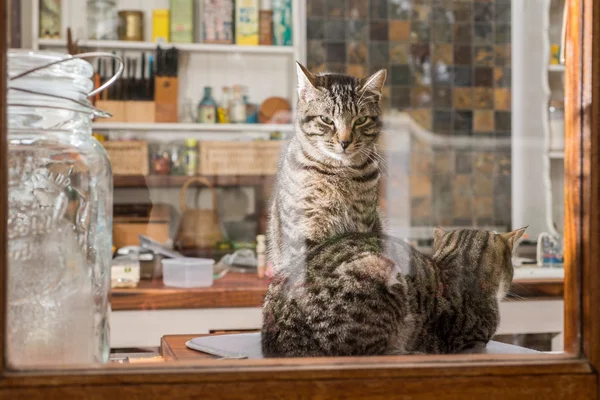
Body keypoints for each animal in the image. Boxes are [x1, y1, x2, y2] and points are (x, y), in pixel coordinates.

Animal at [266, 64, 386, 280]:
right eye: (326, 120)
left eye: (361, 120)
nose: (345, 142)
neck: (339, 173)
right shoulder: (306, 226)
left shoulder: (363, 221)